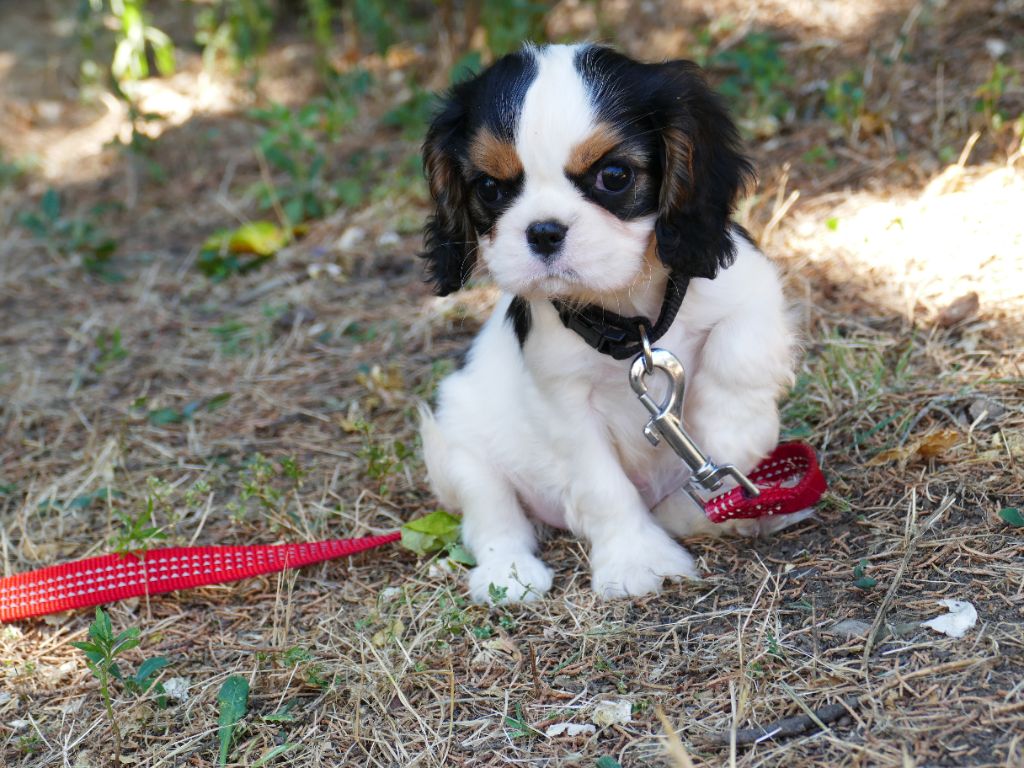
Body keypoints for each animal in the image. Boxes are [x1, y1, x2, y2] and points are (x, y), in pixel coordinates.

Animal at [419, 45, 802, 606]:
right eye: (489, 188)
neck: (632, 322)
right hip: (460, 441)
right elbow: (602, 485)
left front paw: (731, 432)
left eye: (615, 176)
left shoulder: (749, 286)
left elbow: (739, 350)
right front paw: (636, 560)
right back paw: (508, 574)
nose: (543, 231)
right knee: (493, 516)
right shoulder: (563, 398)